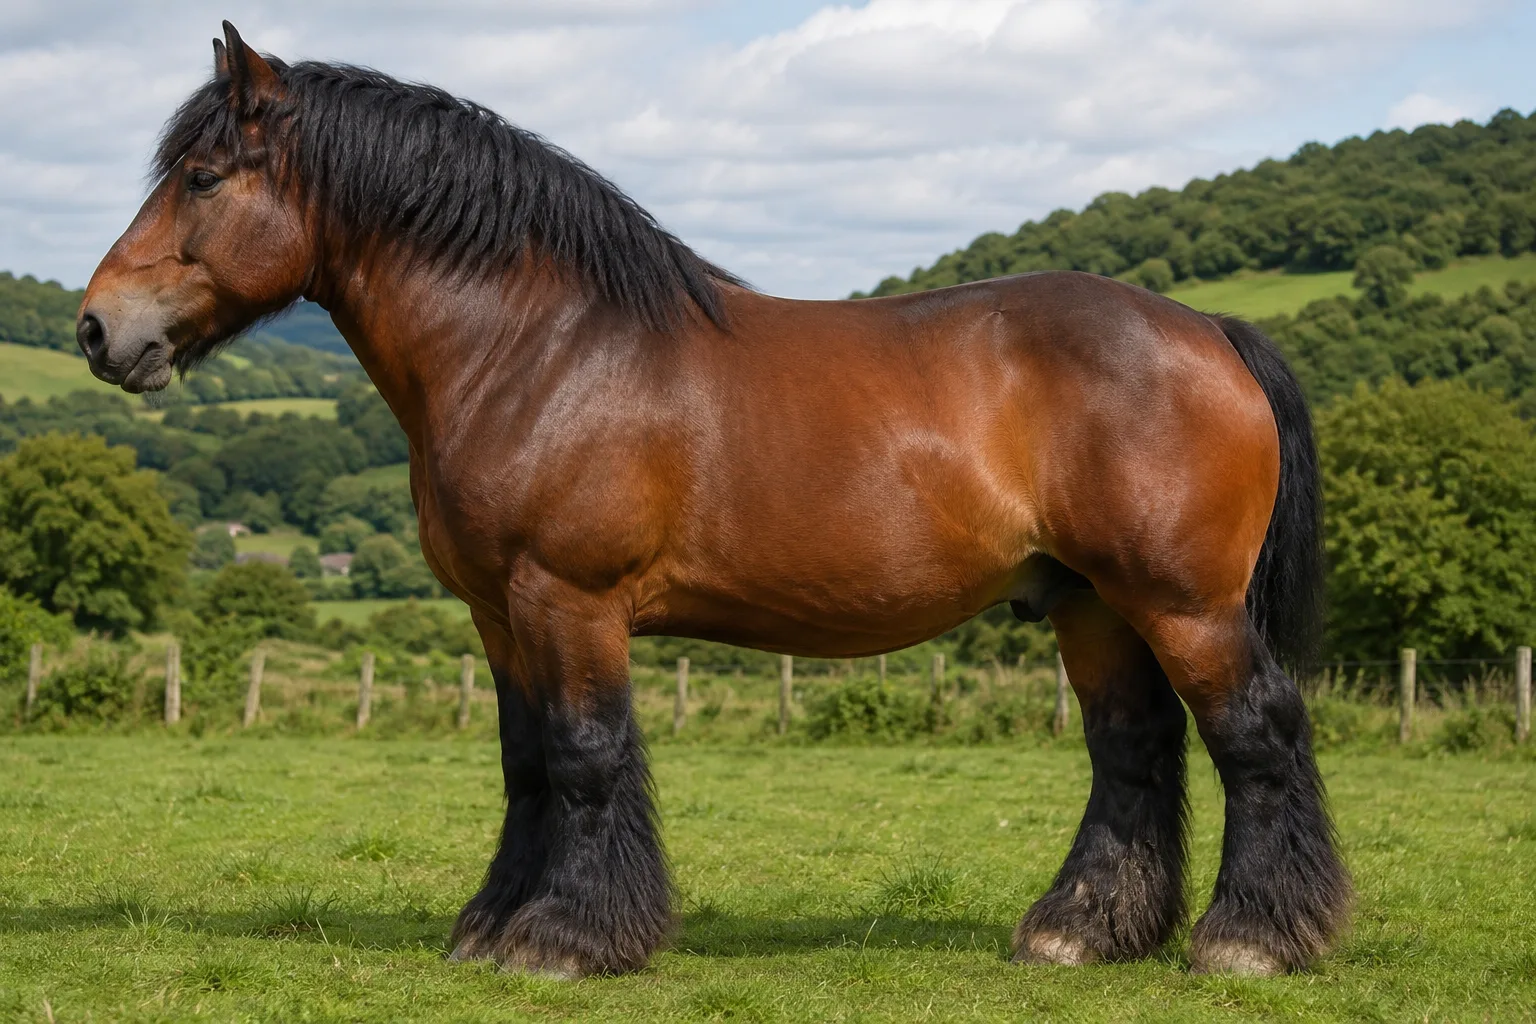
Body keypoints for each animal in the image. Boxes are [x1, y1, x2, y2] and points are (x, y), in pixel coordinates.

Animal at [78, 23, 1350, 978]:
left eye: (201, 178)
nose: (97, 328)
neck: (540, 346)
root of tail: (1209, 331)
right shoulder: (500, 612)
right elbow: (526, 760)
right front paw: (492, 925)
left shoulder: (569, 599)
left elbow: (586, 753)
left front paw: (566, 939)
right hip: (1091, 603)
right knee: (1132, 747)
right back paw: (1080, 932)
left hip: (1181, 602)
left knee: (1255, 733)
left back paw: (1251, 939)